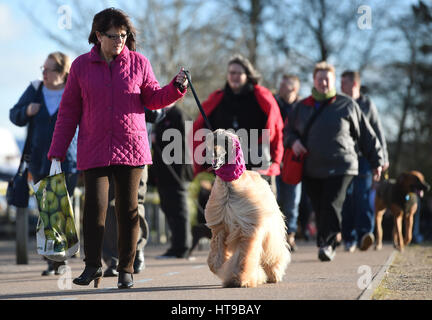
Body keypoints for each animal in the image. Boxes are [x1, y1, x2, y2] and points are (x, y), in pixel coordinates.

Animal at [205, 129, 290, 288]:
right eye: (212, 141)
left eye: (226, 142)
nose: (214, 158)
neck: (230, 187)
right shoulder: (220, 227)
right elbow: (215, 259)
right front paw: (223, 268)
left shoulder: (248, 227)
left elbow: (244, 257)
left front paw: (240, 278)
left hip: (270, 232)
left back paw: (273, 274)